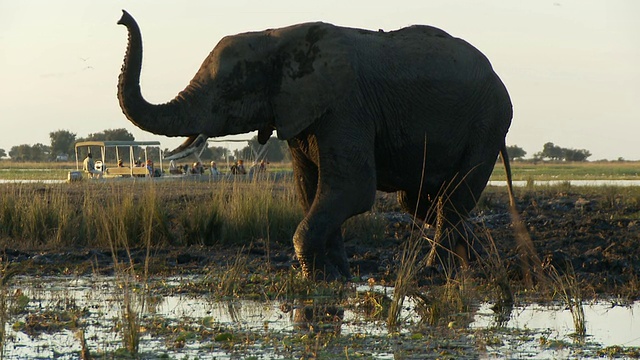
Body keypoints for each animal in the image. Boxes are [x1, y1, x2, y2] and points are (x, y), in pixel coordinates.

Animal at [117, 10, 520, 282]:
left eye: (230, 90)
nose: (121, 17)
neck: (278, 37)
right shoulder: (301, 114)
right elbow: (312, 191)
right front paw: (337, 276)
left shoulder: (346, 108)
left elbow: (351, 189)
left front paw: (314, 278)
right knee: (424, 202)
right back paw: (477, 262)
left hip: (488, 124)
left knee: (450, 200)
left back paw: (434, 272)